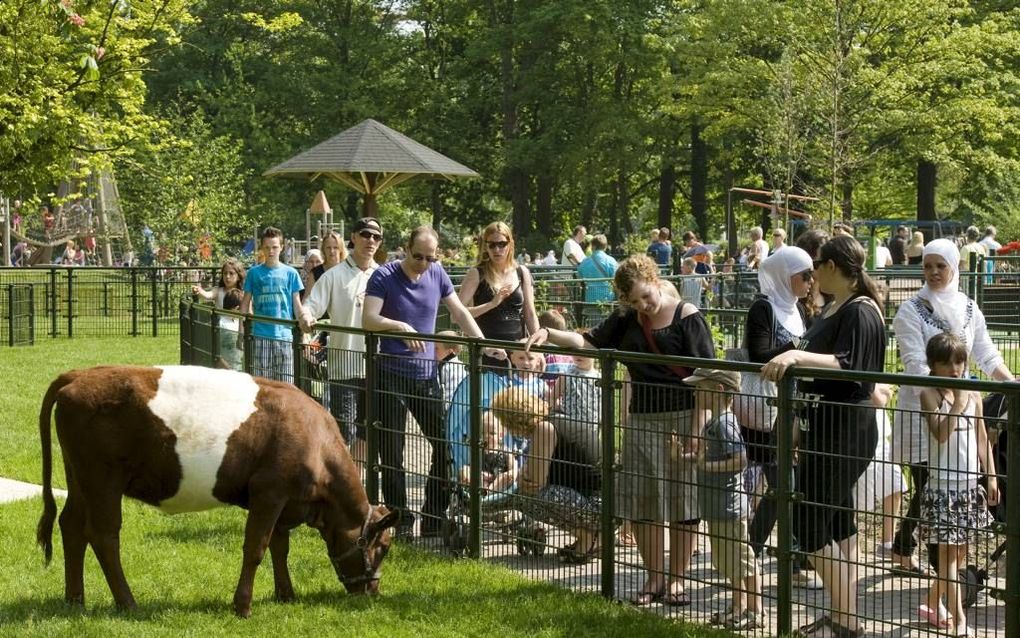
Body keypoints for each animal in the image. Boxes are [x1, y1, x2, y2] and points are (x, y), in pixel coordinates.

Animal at [35, 365, 395, 616]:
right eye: (384, 546)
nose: (373, 591)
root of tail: (79, 375)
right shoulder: (269, 492)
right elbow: (256, 548)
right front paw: (243, 606)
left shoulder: (284, 501)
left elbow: (280, 547)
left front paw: (286, 595)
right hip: (103, 479)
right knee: (104, 535)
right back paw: (127, 602)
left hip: (79, 478)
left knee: (71, 526)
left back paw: (75, 600)